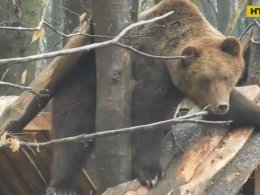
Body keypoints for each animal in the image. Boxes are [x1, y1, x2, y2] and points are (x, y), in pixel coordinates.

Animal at [47, 0, 260, 193]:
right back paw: (60, 185)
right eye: (206, 79)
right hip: (83, 78)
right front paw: (150, 173)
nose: (221, 105)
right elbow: (147, 117)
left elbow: (238, 106)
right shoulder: (151, 69)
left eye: (226, 76)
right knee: (74, 127)